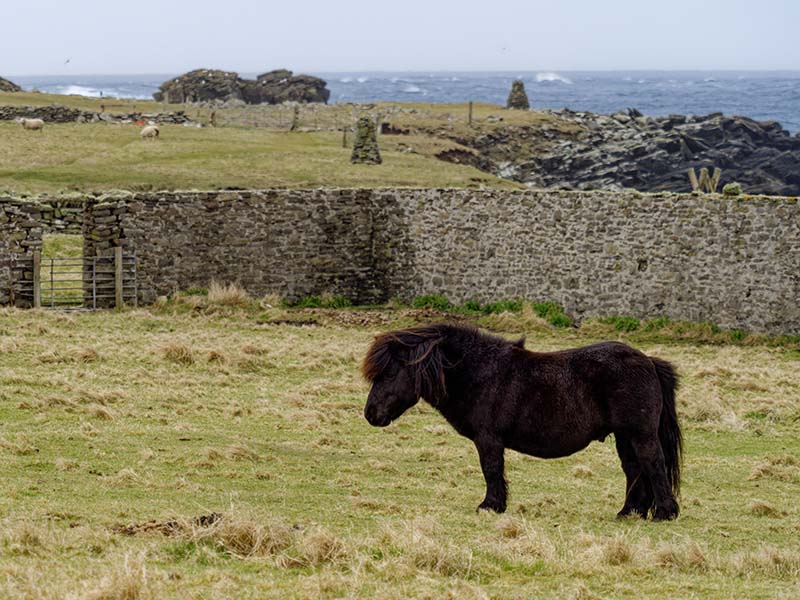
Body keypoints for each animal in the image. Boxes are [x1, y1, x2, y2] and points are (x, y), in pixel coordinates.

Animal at [362, 323, 682, 521]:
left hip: (639, 434)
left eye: (389, 373)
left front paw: (490, 506)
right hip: (625, 437)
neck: (479, 372)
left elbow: (491, 470)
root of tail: (648, 361)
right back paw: (629, 512)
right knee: (634, 470)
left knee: (652, 464)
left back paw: (664, 512)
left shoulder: (488, 440)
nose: (370, 414)